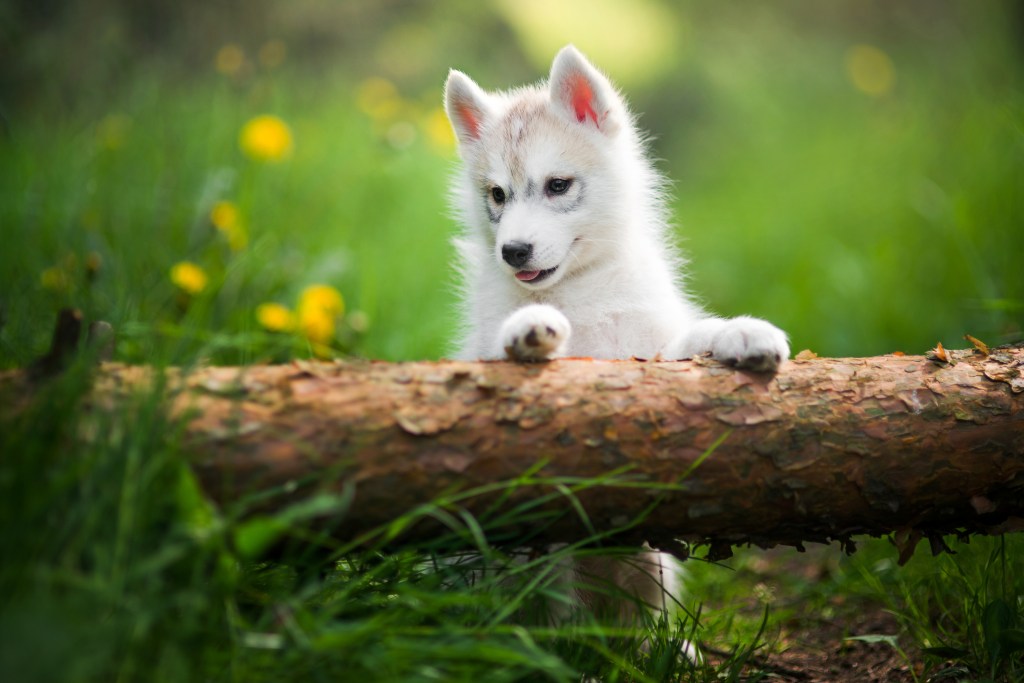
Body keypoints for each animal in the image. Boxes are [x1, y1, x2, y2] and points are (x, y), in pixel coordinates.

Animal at [444, 48, 786, 626]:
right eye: (497, 195)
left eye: (558, 185)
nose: (512, 251)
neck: (581, 288)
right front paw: (530, 330)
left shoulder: (647, 350)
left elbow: (692, 338)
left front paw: (742, 332)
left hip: (649, 563)